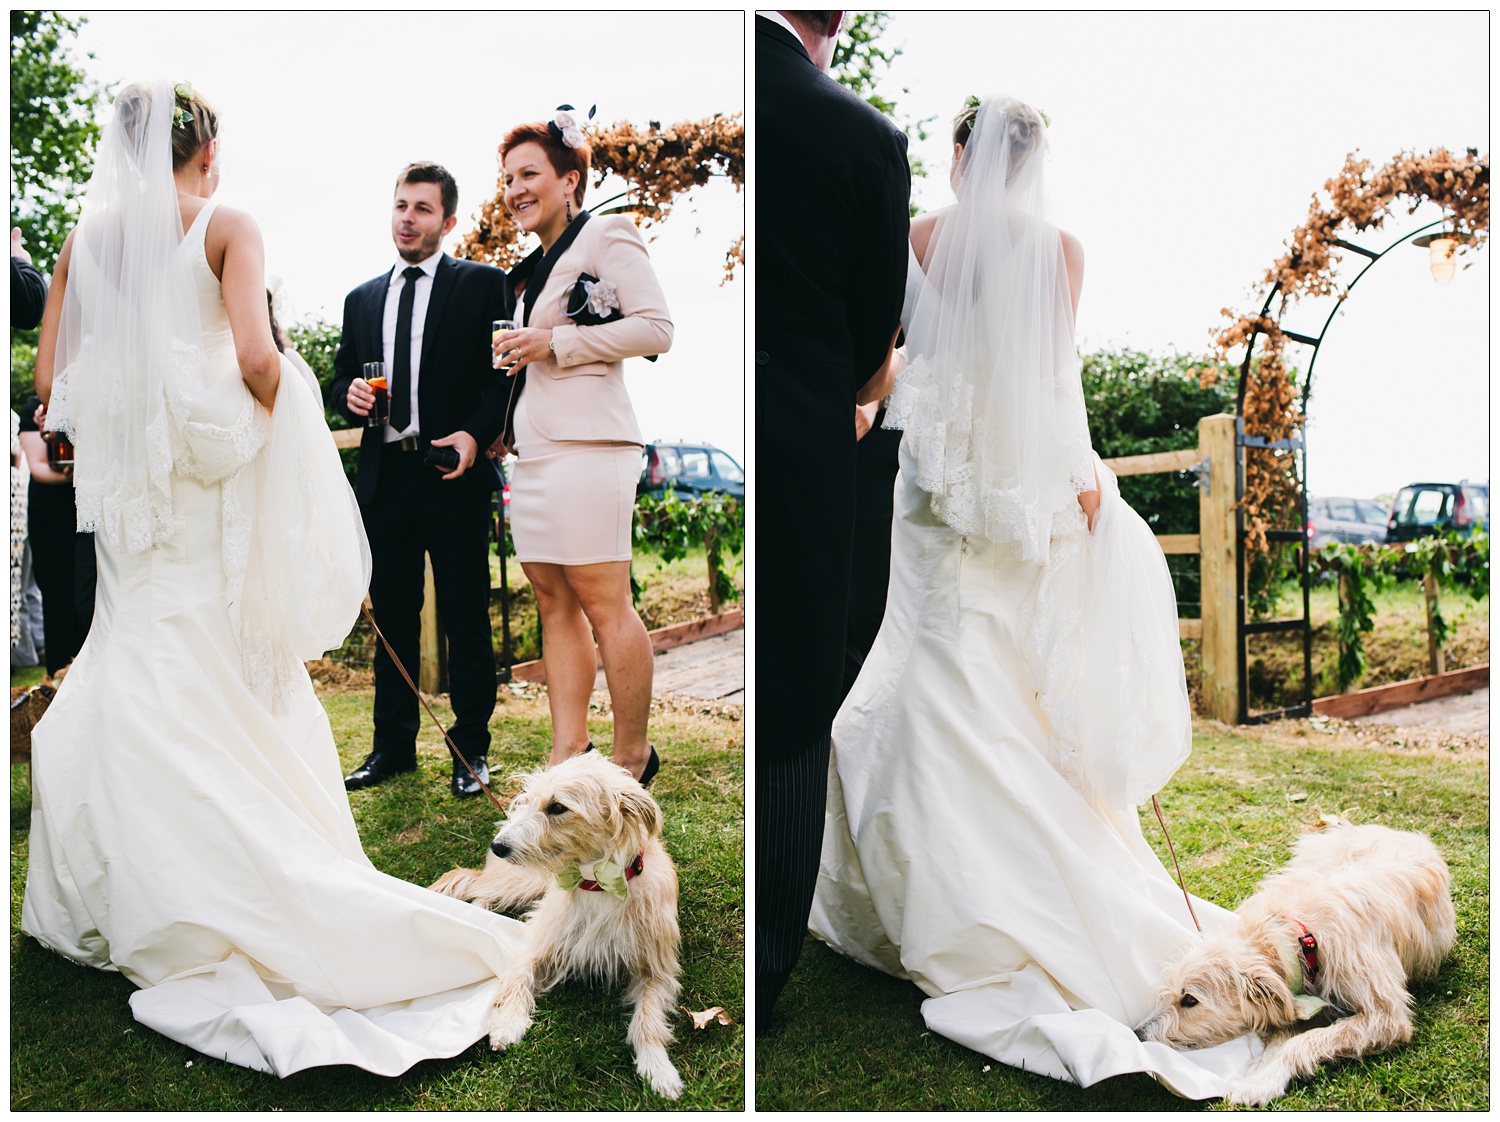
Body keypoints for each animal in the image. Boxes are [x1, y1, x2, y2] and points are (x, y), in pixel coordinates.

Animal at [429, 750, 687, 1098]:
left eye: (557, 807)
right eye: (532, 800)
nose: (499, 845)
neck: (597, 884)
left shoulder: (656, 971)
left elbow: (649, 1020)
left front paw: (658, 1067)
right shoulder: (539, 943)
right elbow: (518, 978)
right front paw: (507, 1023)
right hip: (518, 883)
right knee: (473, 883)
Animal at [1134, 816, 1452, 1104]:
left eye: (1190, 1000)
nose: (1138, 1033)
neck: (1300, 939)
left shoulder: (1386, 1017)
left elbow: (1301, 1041)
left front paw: (1262, 1081)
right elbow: (1282, 1036)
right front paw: (1262, 1070)